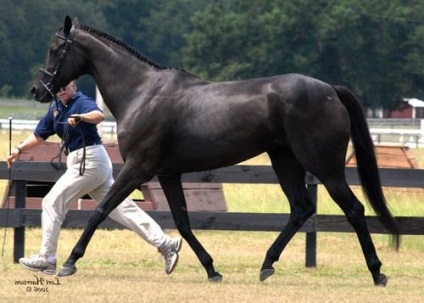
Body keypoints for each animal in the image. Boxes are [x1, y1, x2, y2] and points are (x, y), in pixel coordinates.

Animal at [31, 16, 400, 288]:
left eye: (55, 49)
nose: (37, 90)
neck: (141, 92)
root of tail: (330, 90)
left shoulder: (138, 168)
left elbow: (101, 210)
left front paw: (69, 262)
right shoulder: (167, 173)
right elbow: (182, 222)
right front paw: (211, 270)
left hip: (324, 166)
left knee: (353, 209)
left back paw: (377, 272)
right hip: (285, 161)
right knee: (300, 208)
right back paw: (267, 265)